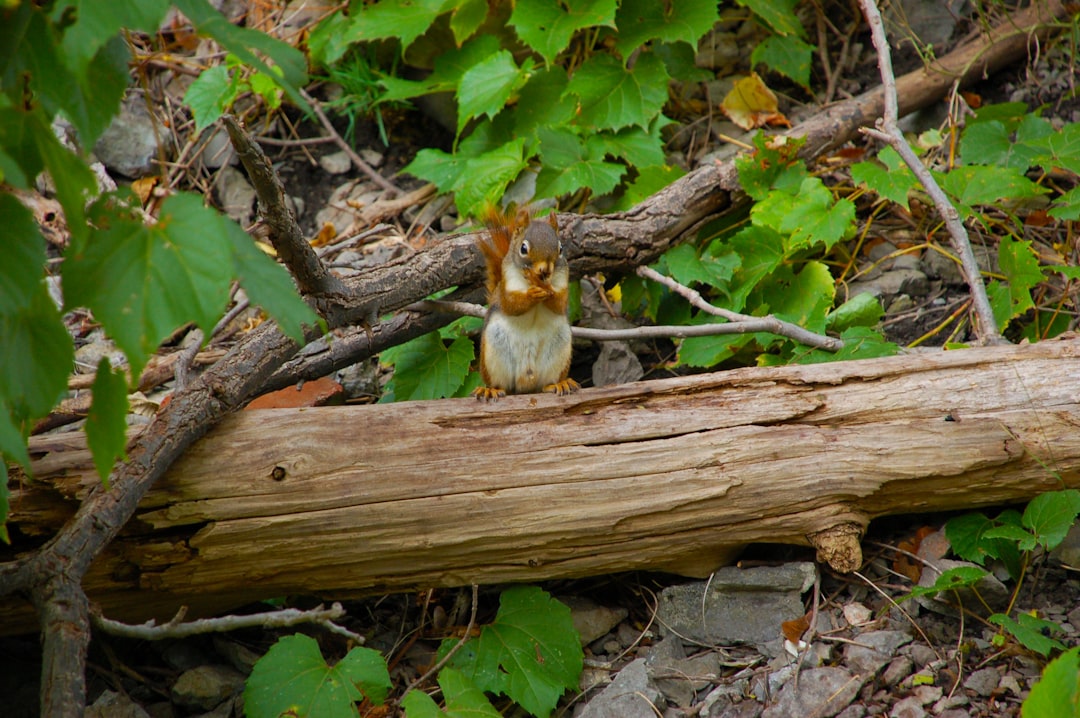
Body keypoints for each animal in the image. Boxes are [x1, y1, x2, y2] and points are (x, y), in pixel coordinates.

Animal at [473, 204, 578, 399]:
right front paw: (531, 294)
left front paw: (548, 291)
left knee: (545, 384)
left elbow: (560, 302)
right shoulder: (507, 284)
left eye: (560, 248)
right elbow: (511, 305)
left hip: (560, 347)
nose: (545, 270)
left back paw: (559, 384)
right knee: (501, 385)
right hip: (494, 351)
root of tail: (525, 385)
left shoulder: (563, 282)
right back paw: (490, 390)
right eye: (523, 248)